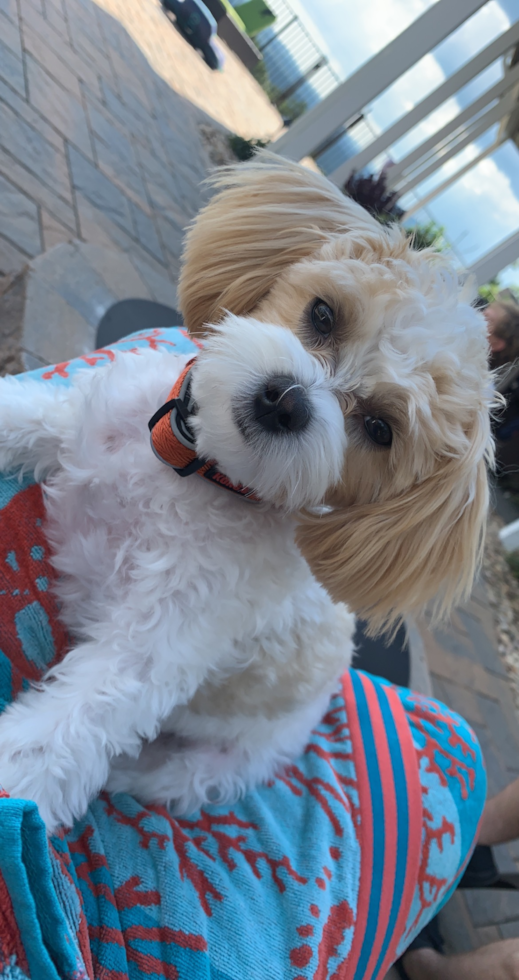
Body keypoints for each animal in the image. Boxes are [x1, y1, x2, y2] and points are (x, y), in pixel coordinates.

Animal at [0, 157, 496, 832]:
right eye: (323, 314)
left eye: (379, 429)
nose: (286, 399)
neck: (199, 472)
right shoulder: (69, 421)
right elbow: (20, 413)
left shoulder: (162, 641)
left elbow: (69, 725)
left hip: (224, 762)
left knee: (178, 779)